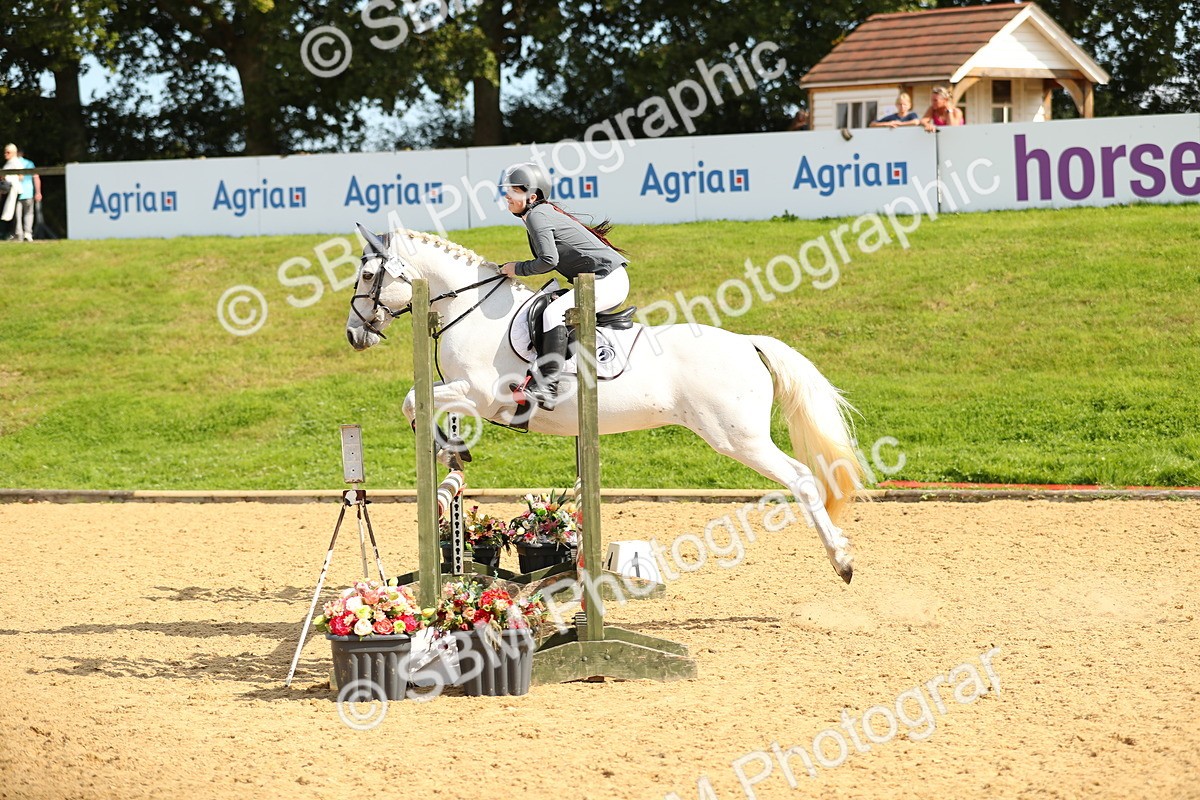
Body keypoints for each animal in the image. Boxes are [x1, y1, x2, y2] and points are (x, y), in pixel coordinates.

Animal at [345, 226, 864, 583]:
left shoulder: (482, 394)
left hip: (738, 438)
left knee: (801, 478)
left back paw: (841, 561)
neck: (471, 312)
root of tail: (747, 342)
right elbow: (426, 406)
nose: (353, 335)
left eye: (368, 275)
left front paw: (445, 447)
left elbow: (413, 400)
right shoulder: (465, 392)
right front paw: (453, 451)